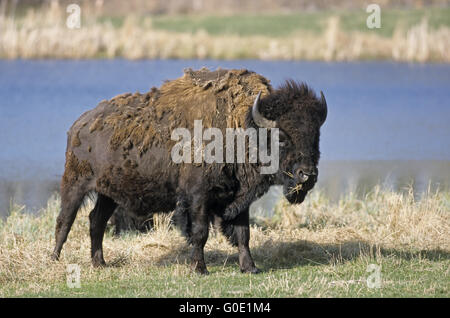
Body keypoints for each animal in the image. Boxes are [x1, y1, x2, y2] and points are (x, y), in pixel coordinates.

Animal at [51, 68, 326, 274]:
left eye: (315, 136)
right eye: (281, 138)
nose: (308, 175)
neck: (242, 127)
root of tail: (79, 124)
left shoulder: (240, 199)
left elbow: (243, 234)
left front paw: (250, 268)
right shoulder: (197, 197)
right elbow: (200, 233)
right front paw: (200, 268)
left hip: (108, 193)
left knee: (96, 221)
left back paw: (100, 263)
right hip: (75, 184)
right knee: (65, 220)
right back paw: (55, 259)